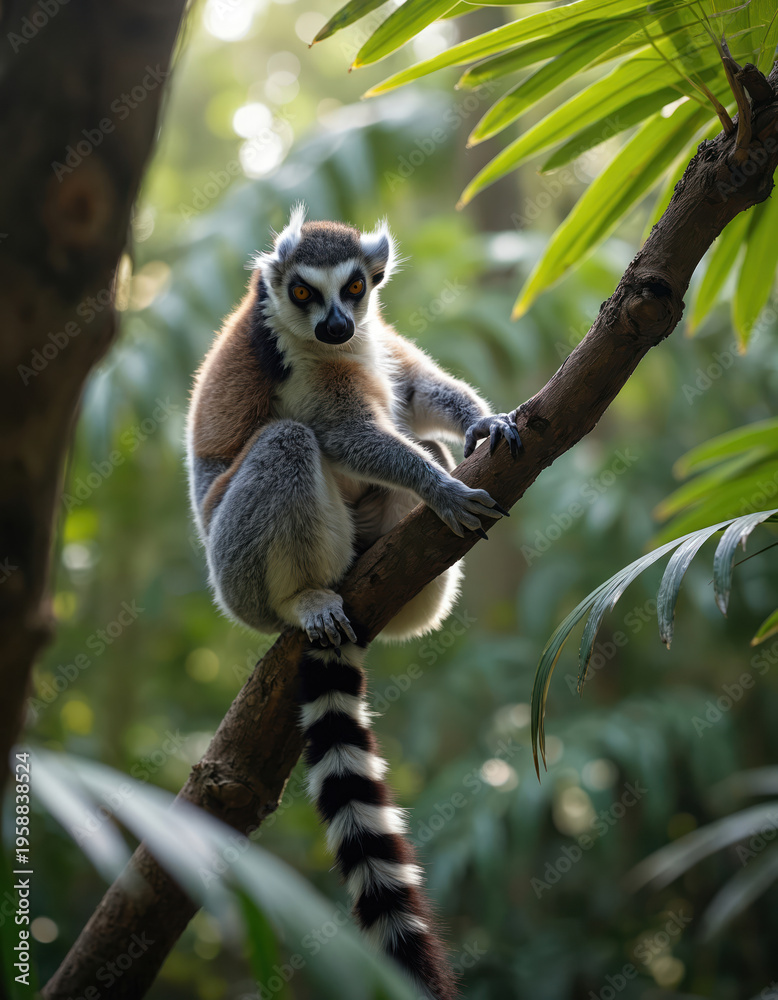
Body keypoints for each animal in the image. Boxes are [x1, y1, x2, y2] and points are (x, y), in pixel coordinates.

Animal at [186, 205, 521, 999]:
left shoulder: (373, 340)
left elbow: (413, 388)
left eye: (356, 287)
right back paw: (306, 600)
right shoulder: (294, 360)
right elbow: (343, 431)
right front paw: (440, 488)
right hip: (234, 569)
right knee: (288, 441)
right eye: (305, 293)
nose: (338, 324)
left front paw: (481, 423)